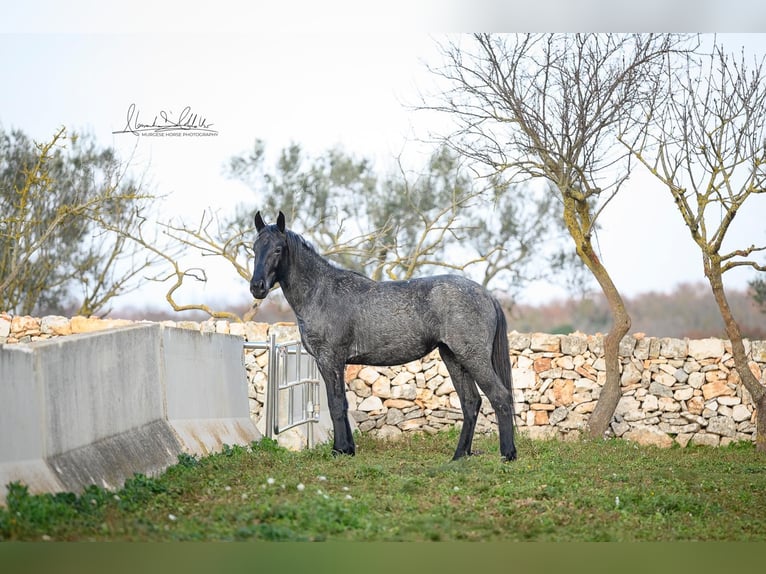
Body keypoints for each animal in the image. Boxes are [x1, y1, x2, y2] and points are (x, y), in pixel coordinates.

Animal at [249, 212, 520, 464]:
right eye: (254, 248)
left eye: (278, 249)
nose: (256, 287)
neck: (321, 292)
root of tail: (486, 295)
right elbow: (342, 403)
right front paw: (348, 449)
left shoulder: (329, 360)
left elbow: (336, 404)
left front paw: (339, 450)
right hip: (453, 357)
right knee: (471, 402)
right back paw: (458, 456)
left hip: (473, 358)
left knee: (500, 397)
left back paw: (508, 454)